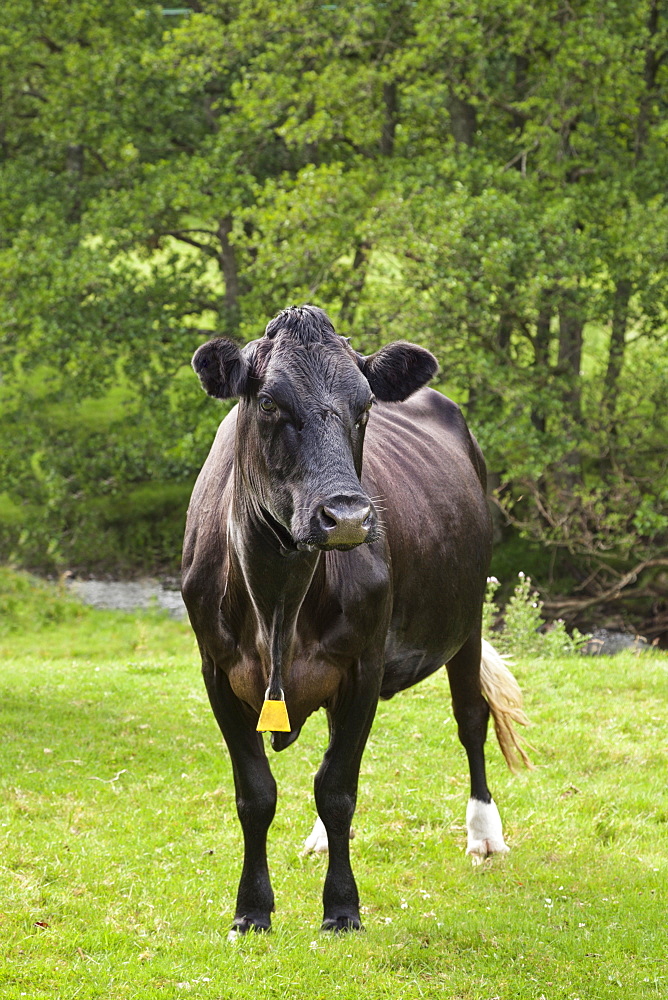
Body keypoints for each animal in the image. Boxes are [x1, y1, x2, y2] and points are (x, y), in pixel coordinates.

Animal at [181, 304, 528, 936]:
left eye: (364, 406)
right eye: (268, 403)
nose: (346, 515)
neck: (278, 598)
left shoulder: (363, 664)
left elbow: (338, 788)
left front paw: (341, 907)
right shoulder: (216, 669)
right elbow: (256, 793)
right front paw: (251, 910)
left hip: (467, 620)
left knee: (470, 718)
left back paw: (484, 833)